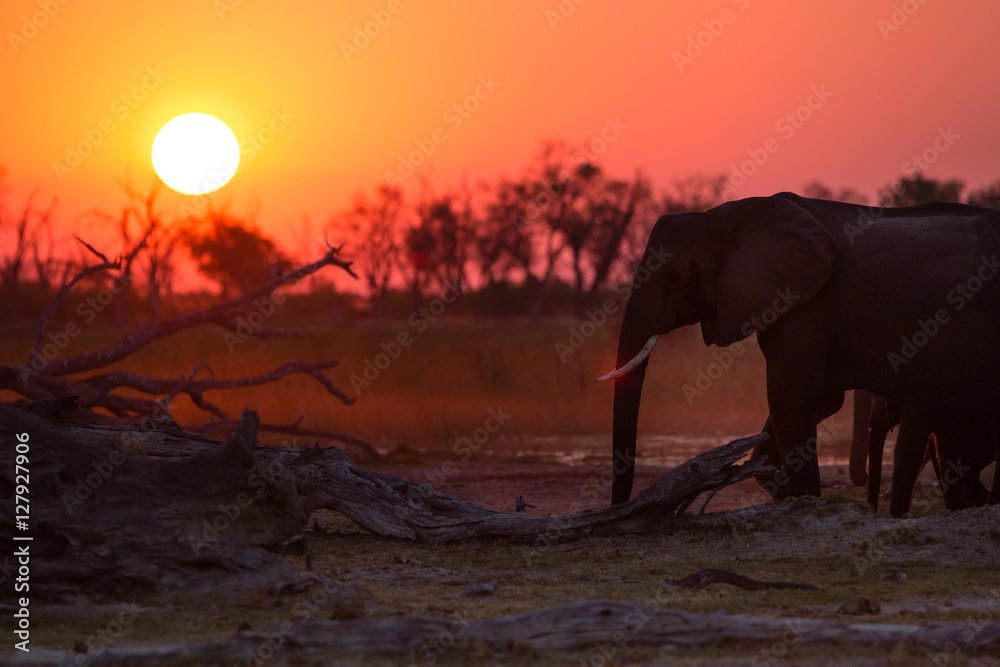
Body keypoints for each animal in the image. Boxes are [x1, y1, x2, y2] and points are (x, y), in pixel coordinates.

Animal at [600, 192, 1000, 506]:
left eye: (676, 276)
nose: (619, 508)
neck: (722, 216)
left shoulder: (806, 307)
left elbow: (790, 397)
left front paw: (803, 497)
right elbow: (820, 400)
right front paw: (777, 483)